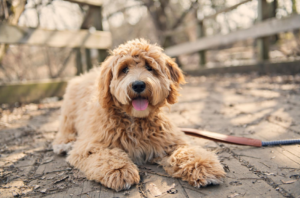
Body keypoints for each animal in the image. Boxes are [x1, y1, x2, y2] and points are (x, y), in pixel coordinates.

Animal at [52, 38, 225, 191]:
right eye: (124, 70)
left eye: (149, 67)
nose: (138, 85)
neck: (135, 120)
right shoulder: (88, 146)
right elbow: (105, 155)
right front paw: (119, 170)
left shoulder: (170, 140)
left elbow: (187, 151)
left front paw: (203, 165)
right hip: (69, 110)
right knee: (65, 128)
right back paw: (63, 143)